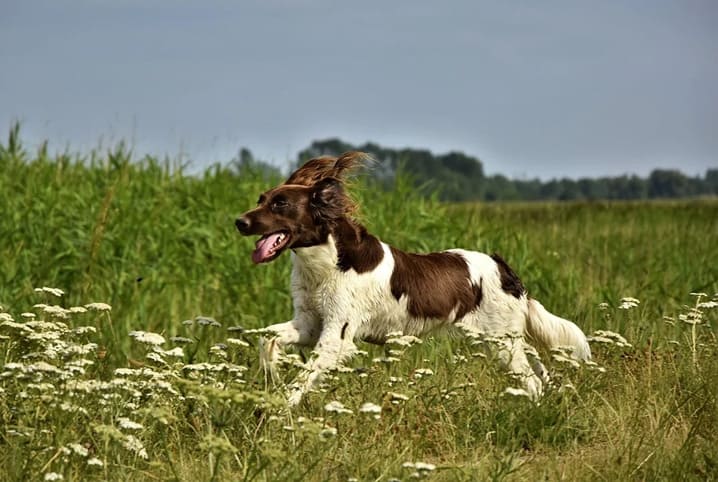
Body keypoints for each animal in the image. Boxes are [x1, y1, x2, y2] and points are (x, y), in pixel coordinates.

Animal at [236, 152, 592, 406]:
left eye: (280, 203)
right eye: (260, 199)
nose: (239, 222)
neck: (327, 262)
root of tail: (505, 268)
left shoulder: (337, 336)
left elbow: (300, 381)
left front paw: (276, 409)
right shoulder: (309, 323)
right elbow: (266, 340)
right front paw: (272, 374)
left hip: (502, 342)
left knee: (532, 382)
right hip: (506, 340)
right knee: (539, 370)